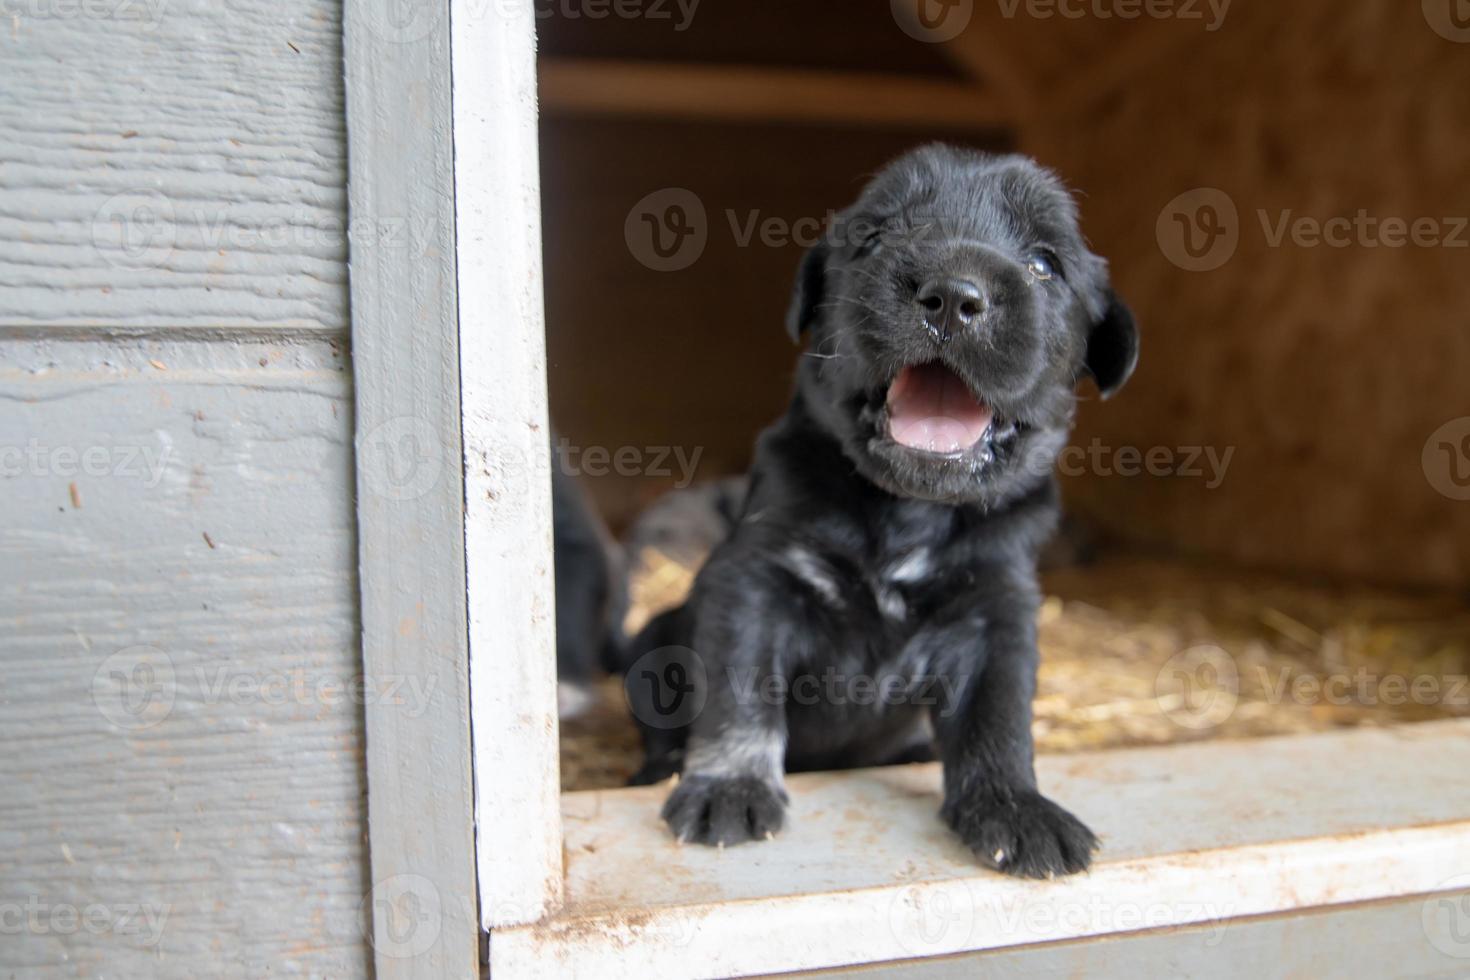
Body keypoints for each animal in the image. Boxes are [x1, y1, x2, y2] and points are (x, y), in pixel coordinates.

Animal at [626, 147, 1140, 881]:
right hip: (653, 638)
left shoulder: (996, 611)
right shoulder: (756, 579)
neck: (910, 509)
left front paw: (1017, 809)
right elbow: (741, 689)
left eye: (1045, 262)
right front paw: (729, 787)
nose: (953, 296)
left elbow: (998, 715)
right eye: (875, 237)